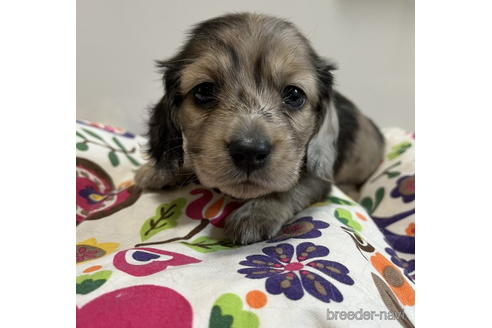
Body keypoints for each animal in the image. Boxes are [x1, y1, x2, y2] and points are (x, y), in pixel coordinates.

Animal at [135, 12, 384, 243]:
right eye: (204, 90)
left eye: (294, 95)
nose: (249, 151)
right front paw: (159, 170)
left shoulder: (319, 177)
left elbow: (291, 186)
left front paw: (257, 213)